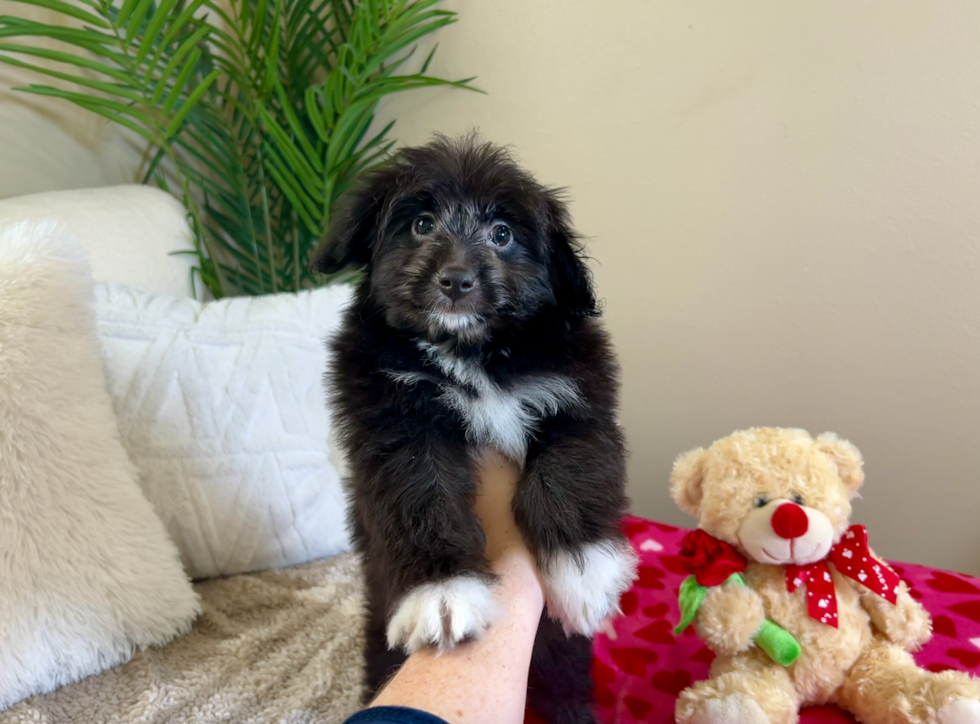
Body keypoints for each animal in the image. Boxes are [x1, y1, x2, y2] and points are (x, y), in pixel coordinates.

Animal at [312, 133, 636, 720]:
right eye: (421, 224)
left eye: (502, 234)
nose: (456, 281)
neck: (472, 353)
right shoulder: (395, 420)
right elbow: (420, 493)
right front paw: (444, 591)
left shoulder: (579, 397)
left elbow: (568, 471)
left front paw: (584, 573)